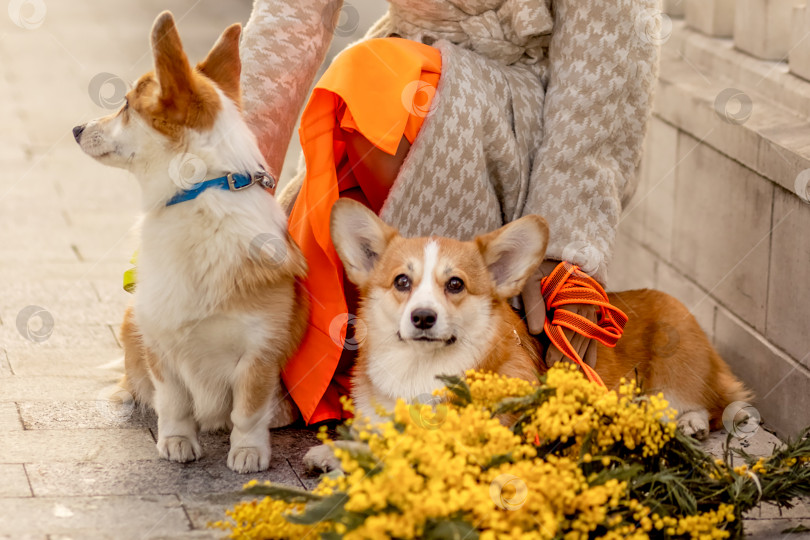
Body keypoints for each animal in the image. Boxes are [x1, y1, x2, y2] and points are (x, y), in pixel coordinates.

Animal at [72, 9, 308, 472]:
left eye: (125, 106)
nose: (76, 128)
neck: (201, 194)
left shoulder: (259, 350)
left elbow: (248, 410)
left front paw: (248, 452)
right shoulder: (159, 339)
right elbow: (174, 401)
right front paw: (177, 442)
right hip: (130, 320)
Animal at [304, 199, 752, 468]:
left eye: (455, 285)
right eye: (401, 282)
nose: (423, 318)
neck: (420, 370)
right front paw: (332, 450)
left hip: (678, 370)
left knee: (712, 404)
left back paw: (688, 422)